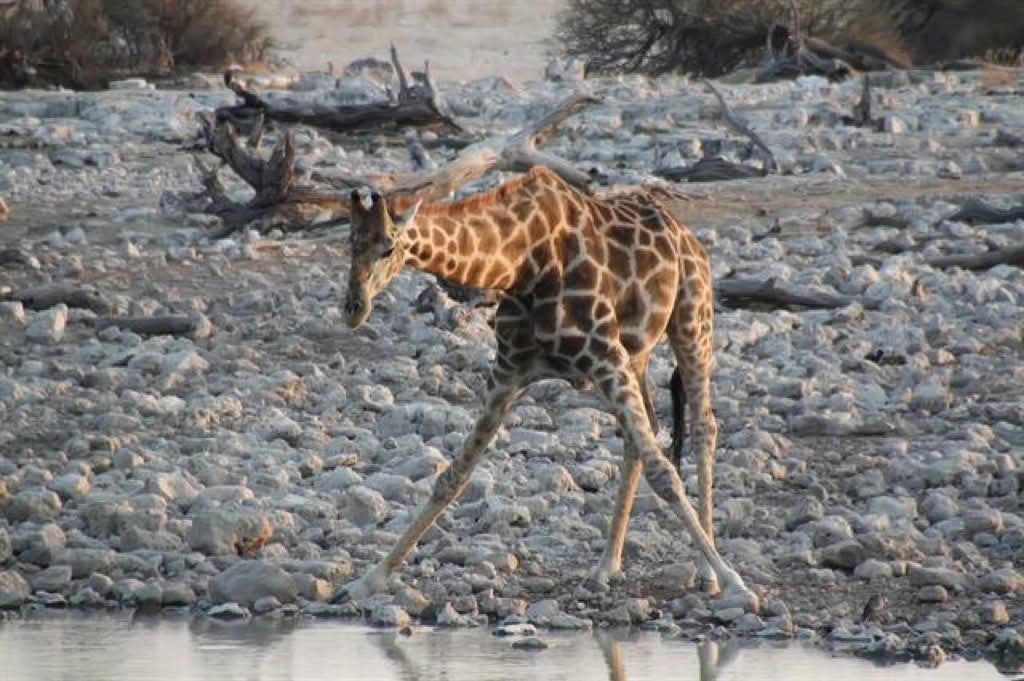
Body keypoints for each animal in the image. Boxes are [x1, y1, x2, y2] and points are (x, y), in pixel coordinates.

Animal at [339, 165, 757, 610]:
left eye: (388, 249)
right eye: (349, 245)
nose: (353, 309)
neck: (520, 264)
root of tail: (688, 236)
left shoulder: (604, 355)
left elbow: (664, 475)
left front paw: (736, 583)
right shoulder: (508, 372)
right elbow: (452, 477)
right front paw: (368, 580)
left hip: (692, 320)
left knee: (703, 426)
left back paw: (706, 573)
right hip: (638, 352)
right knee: (643, 433)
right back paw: (607, 564)